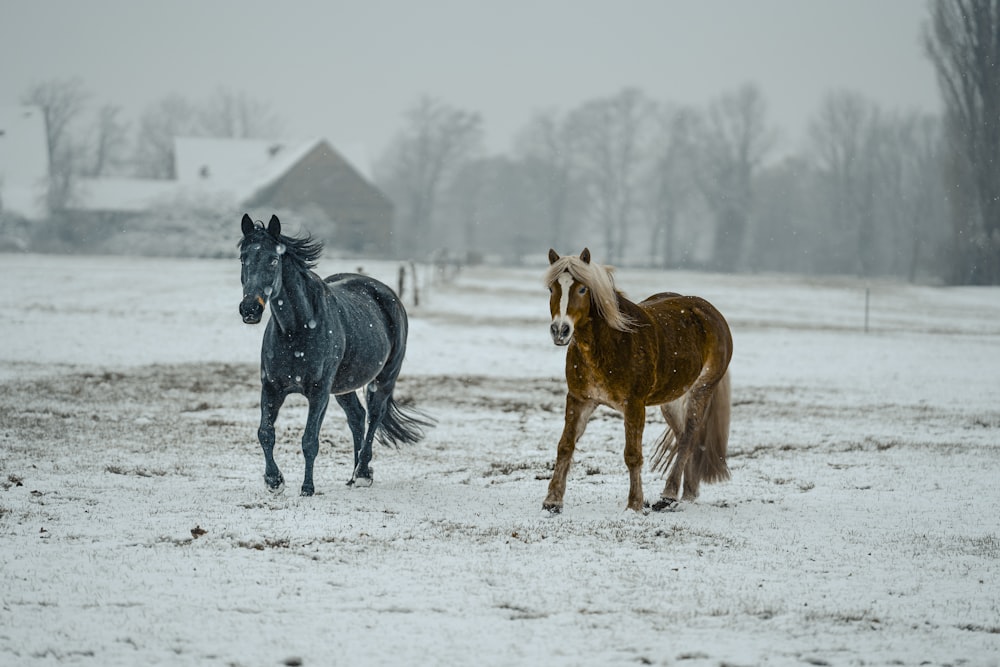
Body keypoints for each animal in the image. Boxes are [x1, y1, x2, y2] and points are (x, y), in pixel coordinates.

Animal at [241, 215, 434, 496]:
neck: (295, 331)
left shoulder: (319, 392)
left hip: (384, 378)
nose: (249, 309)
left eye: (273, 260)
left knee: (374, 416)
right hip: (344, 386)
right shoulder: (272, 388)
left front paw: (307, 488)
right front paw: (274, 481)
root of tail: (387, 293)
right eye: (243, 258)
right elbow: (265, 432)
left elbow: (310, 440)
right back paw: (354, 475)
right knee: (357, 417)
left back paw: (362, 473)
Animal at [544, 248, 732, 516]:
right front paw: (552, 501)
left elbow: (633, 455)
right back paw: (688, 493)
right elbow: (565, 446)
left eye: (582, 289)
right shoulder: (580, 399)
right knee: (683, 436)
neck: (609, 343)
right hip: (672, 400)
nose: (560, 330)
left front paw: (634, 504)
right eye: (552, 288)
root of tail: (711, 313)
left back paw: (668, 496)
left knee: (688, 437)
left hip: (701, 390)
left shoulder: (634, 405)